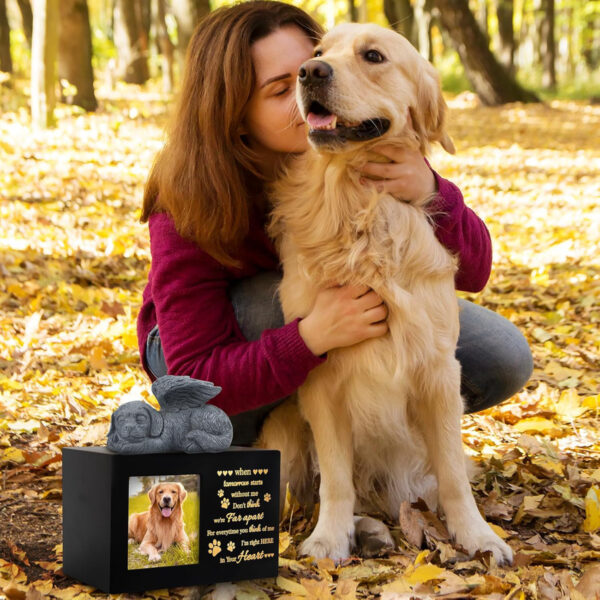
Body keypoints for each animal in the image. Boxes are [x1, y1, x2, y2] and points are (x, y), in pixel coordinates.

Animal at [255, 24, 512, 568]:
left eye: (373, 56)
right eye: (318, 52)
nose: (309, 72)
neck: (358, 202)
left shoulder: (439, 372)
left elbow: (454, 475)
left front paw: (477, 535)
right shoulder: (320, 377)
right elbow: (334, 479)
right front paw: (330, 538)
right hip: (283, 437)